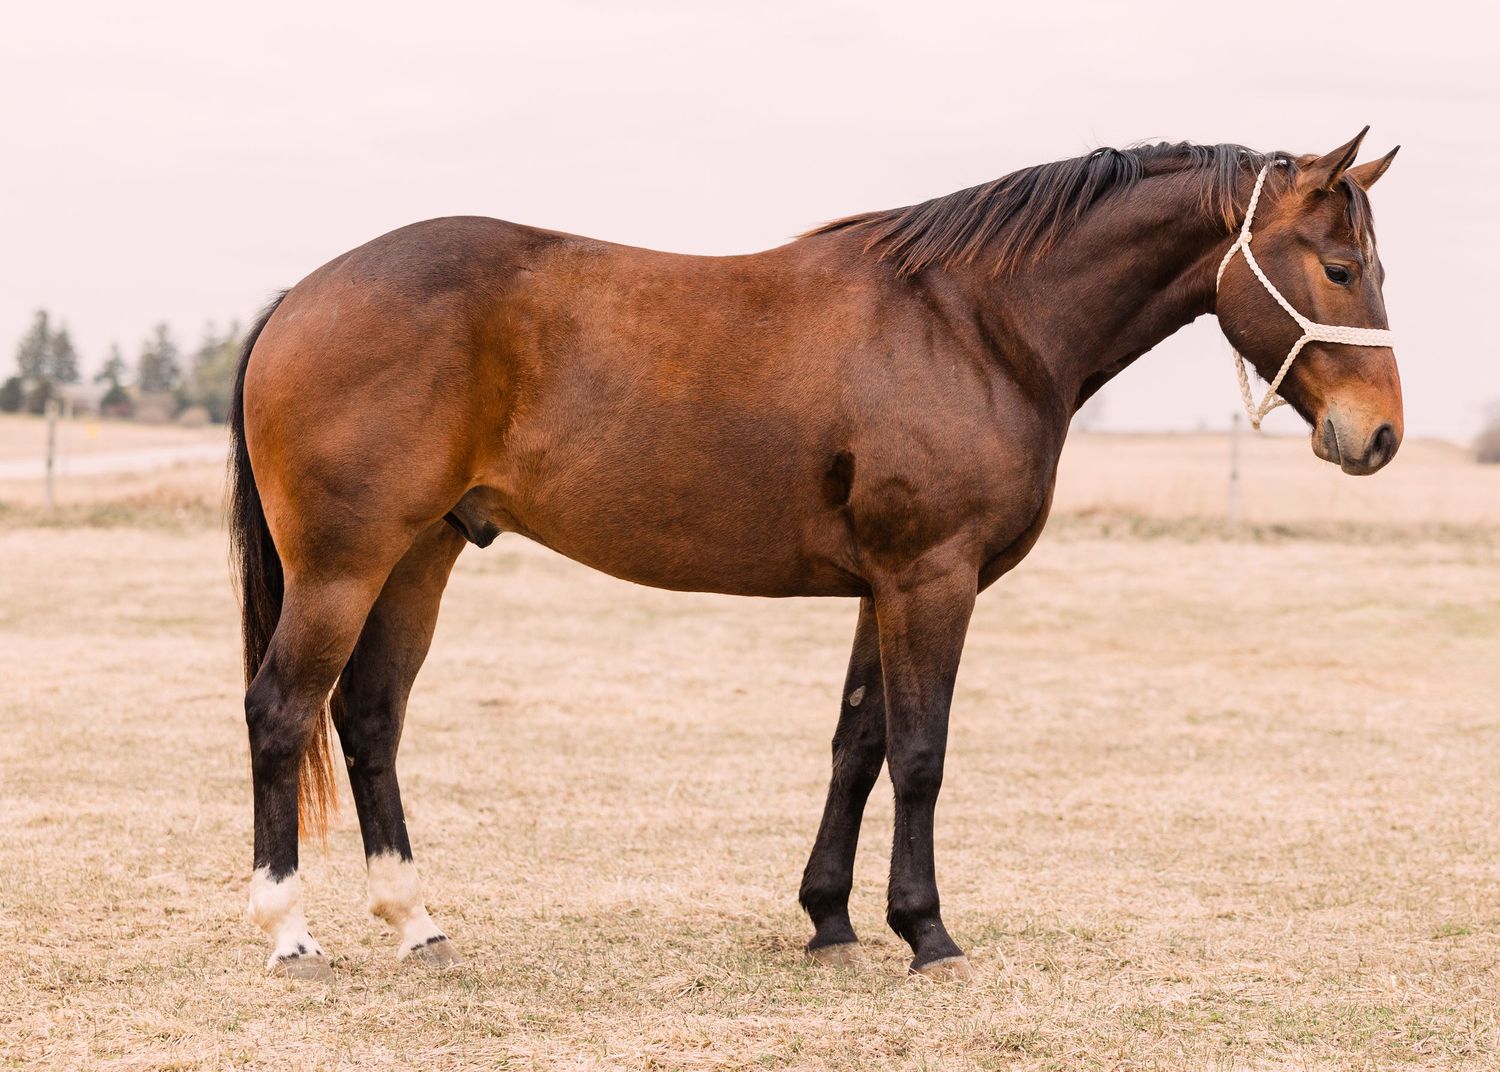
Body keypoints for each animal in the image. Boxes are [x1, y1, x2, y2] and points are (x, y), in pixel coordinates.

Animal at [230, 129, 1403, 981]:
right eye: (1341, 267)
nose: (1379, 436)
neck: (976, 324)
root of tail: (301, 296)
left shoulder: (883, 585)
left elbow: (858, 744)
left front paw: (830, 919)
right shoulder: (933, 577)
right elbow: (922, 753)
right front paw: (927, 933)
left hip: (420, 557)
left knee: (369, 717)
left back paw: (414, 920)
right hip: (343, 566)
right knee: (282, 711)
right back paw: (289, 930)